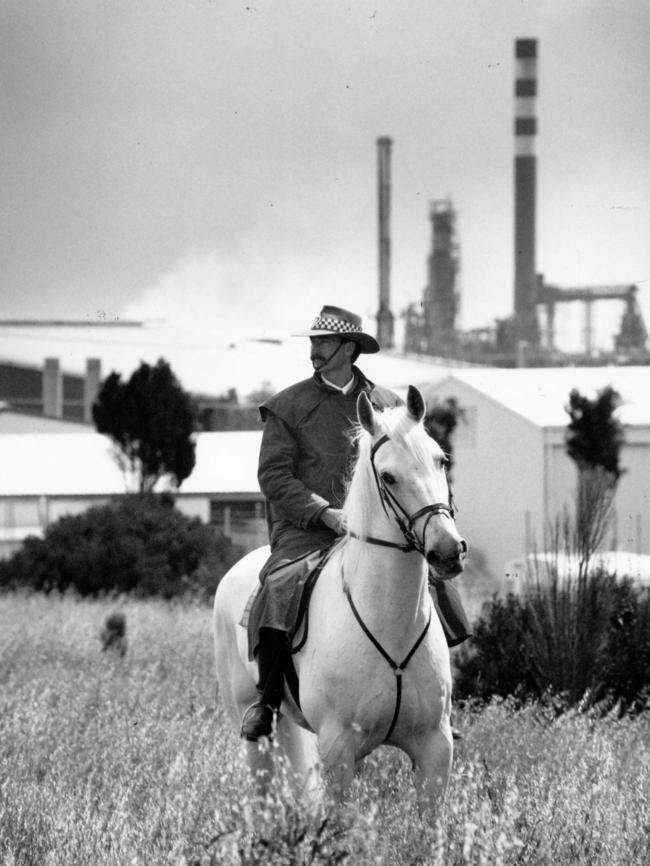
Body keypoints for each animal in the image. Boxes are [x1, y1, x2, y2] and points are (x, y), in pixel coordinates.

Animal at [214, 384, 466, 808]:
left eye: (441, 460)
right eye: (388, 477)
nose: (448, 551)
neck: (390, 624)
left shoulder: (435, 750)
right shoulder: (338, 749)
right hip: (253, 726)